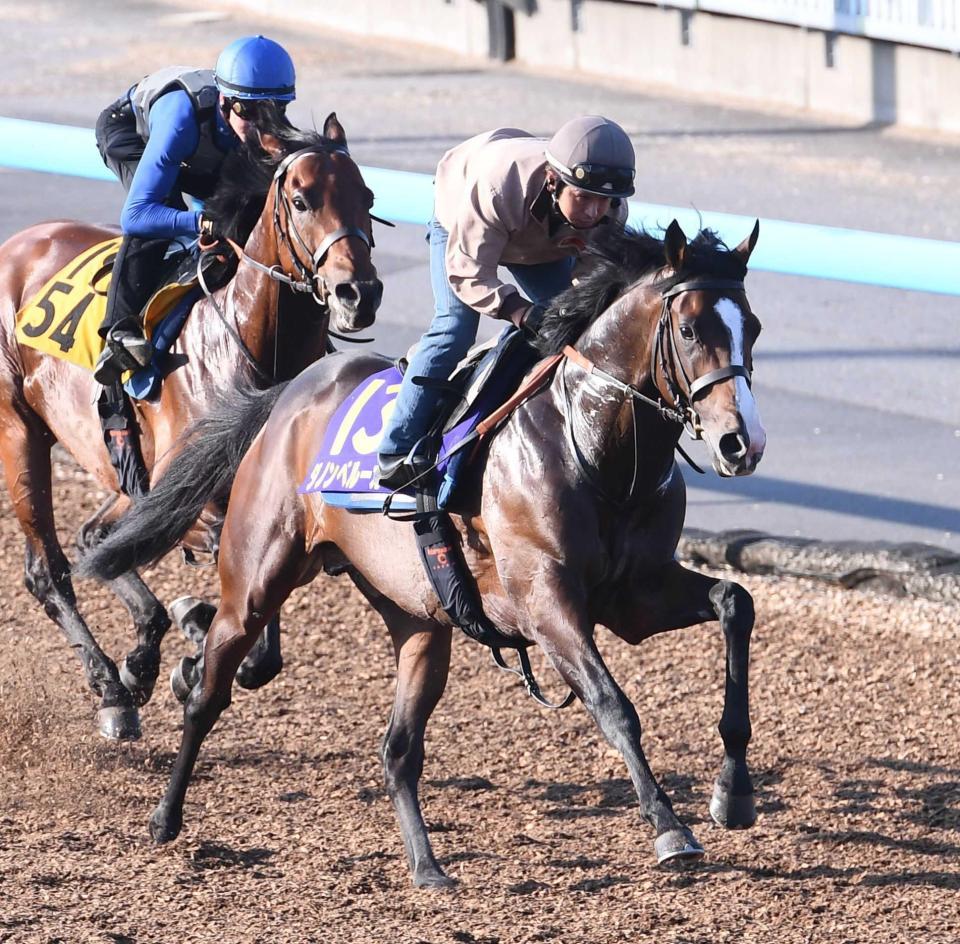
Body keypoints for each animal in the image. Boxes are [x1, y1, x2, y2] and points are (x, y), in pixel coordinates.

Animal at [0, 114, 382, 740]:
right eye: (302, 200)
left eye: (368, 197)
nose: (360, 294)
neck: (249, 345)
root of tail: (19, 242)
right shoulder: (190, 495)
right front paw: (188, 643)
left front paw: (189, 648)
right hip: (21, 429)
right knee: (48, 570)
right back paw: (114, 689)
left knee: (93, 538)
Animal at [86, 219, 768, 876]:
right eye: (689, 329)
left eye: (753, 329)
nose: (742, 443)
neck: (595, 445)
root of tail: (289, 393)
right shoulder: (547, 603)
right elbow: (613, 704)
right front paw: (670, 828)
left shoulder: (635, 595)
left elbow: (736, 603)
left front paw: (732, 792)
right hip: (258, 574)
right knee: (211, 691)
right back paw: (166, 805)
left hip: (418, 617)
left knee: (398, 748)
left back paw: (426, 865)